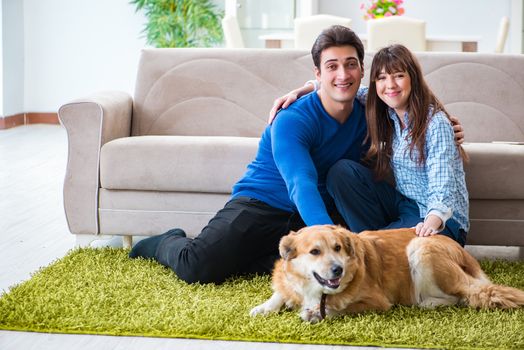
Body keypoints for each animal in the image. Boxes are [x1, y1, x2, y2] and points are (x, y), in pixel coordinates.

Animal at [250, 224, 524, 322]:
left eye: (337, 248)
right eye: (315, 251)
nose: (338, 268)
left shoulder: (378, 302)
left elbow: (341, 308)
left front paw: (317, 312)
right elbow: (281, 291)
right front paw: (264, 307)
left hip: (420, 248)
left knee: (459, 297)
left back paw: (426, 303)